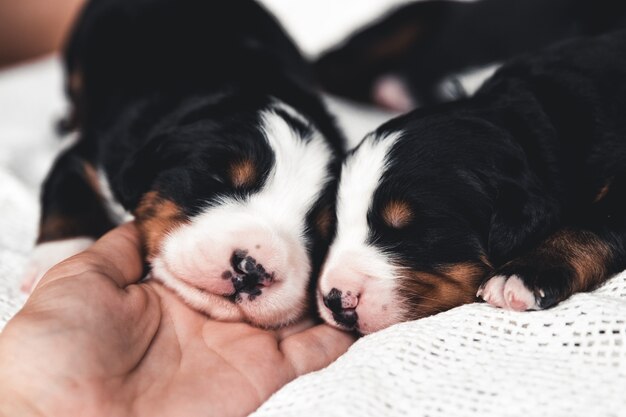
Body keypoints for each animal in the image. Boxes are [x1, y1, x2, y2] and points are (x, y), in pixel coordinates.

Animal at [24, 0, 344, 326]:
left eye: (319, 232)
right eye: (218, 179)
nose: (253, 271)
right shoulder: (96, 156)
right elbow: (69, 198)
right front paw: (57, 261)